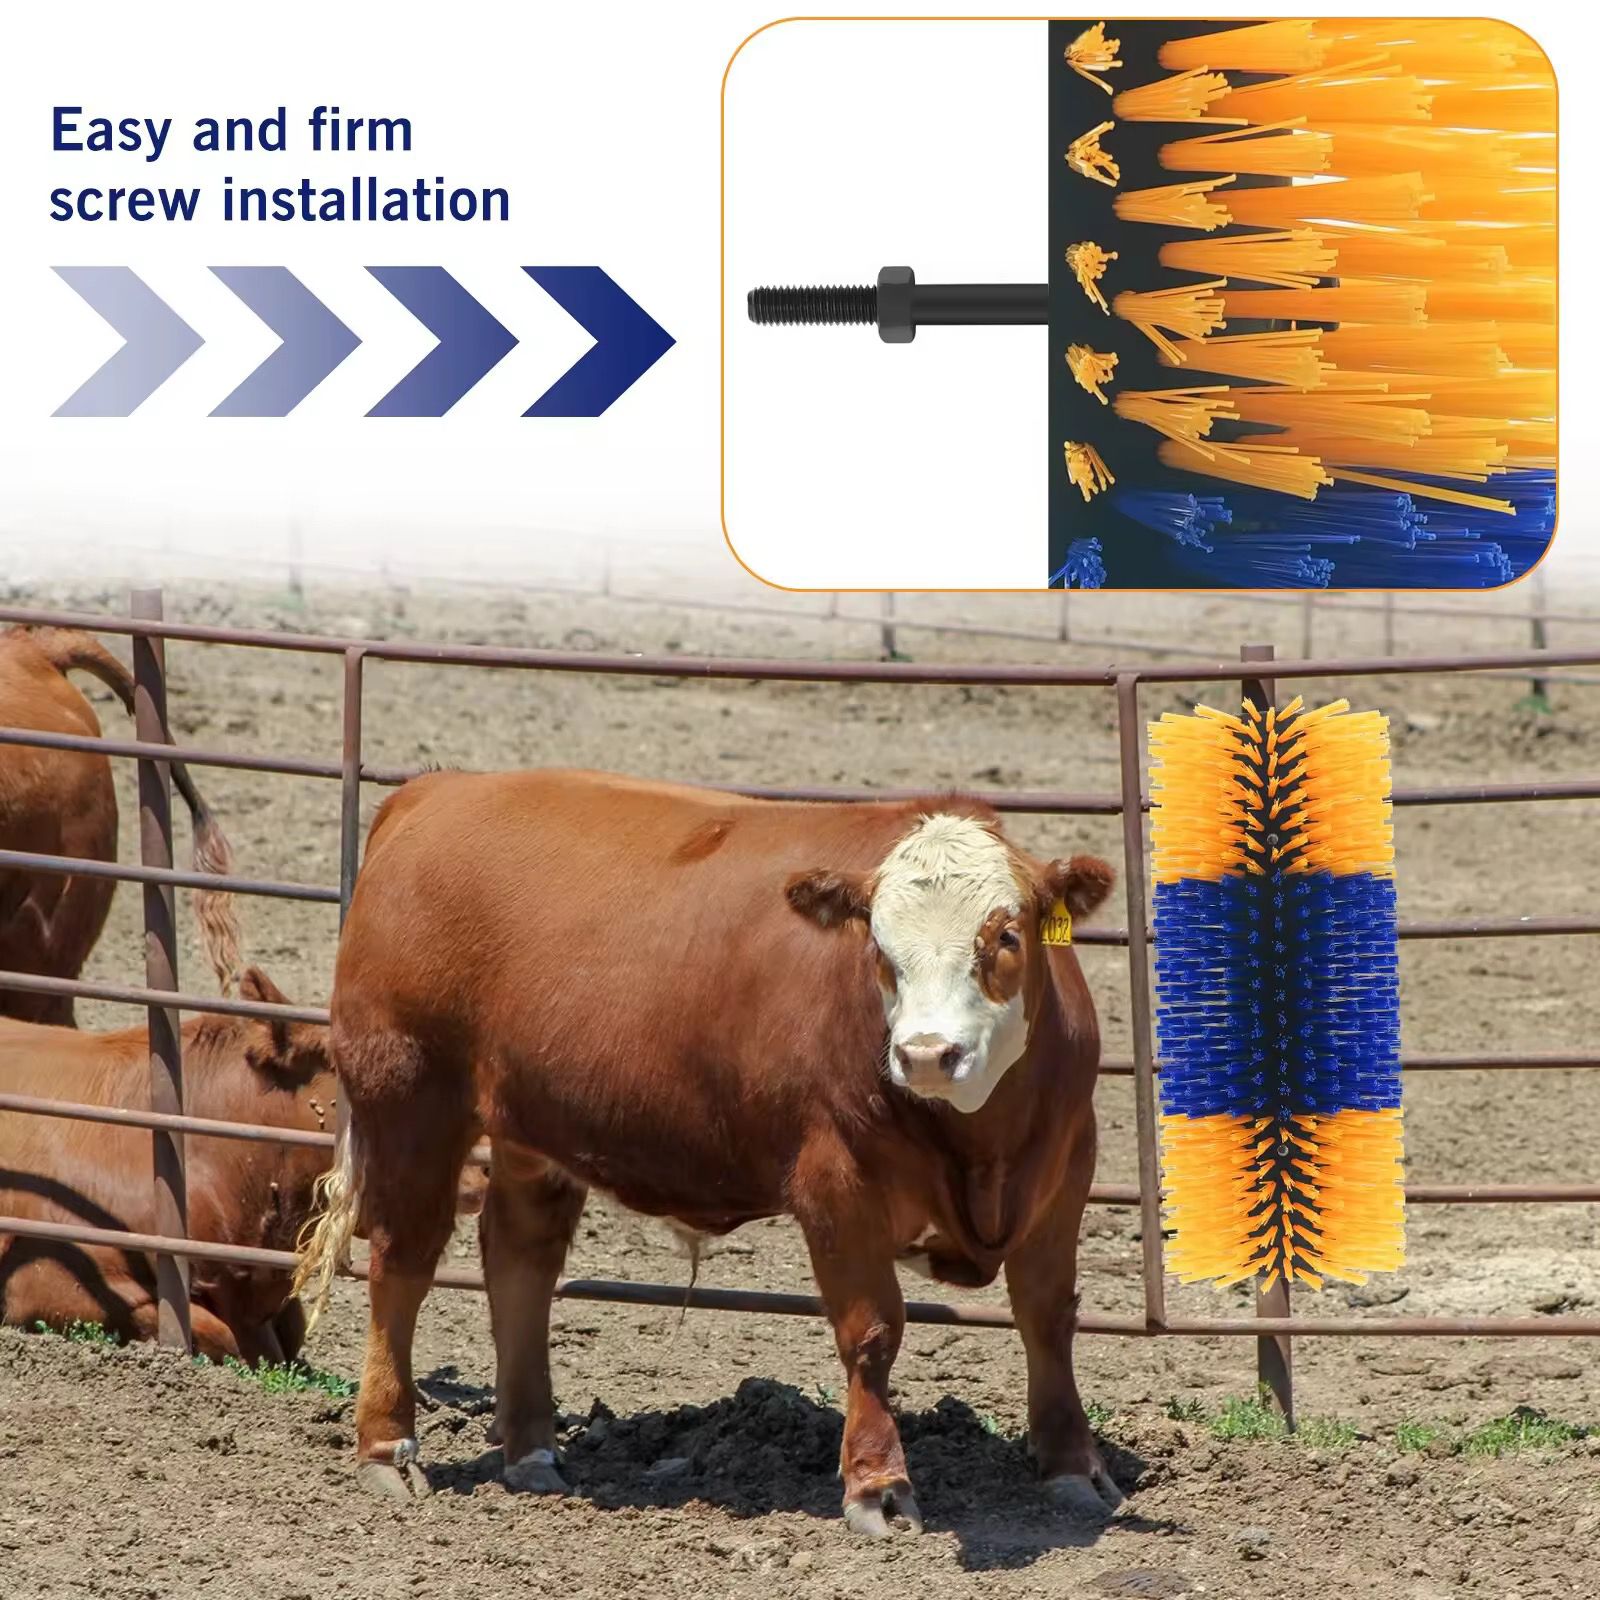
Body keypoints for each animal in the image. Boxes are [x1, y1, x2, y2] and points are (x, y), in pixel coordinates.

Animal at [296, 770, 1120, 1532]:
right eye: (880, 949)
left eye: (1005, 935)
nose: (924, 1055)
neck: (982, 1145)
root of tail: (434, 791)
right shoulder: (835, 1180)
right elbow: (871, 1332)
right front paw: (879, 1488)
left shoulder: (1069, 1162)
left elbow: (1048, 1313)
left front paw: (1073, 1466)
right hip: (409, 1099)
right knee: (402, 1262)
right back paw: (387, 1447)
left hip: (528, 1124)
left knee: (520, 1259)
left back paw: (531, 1451)